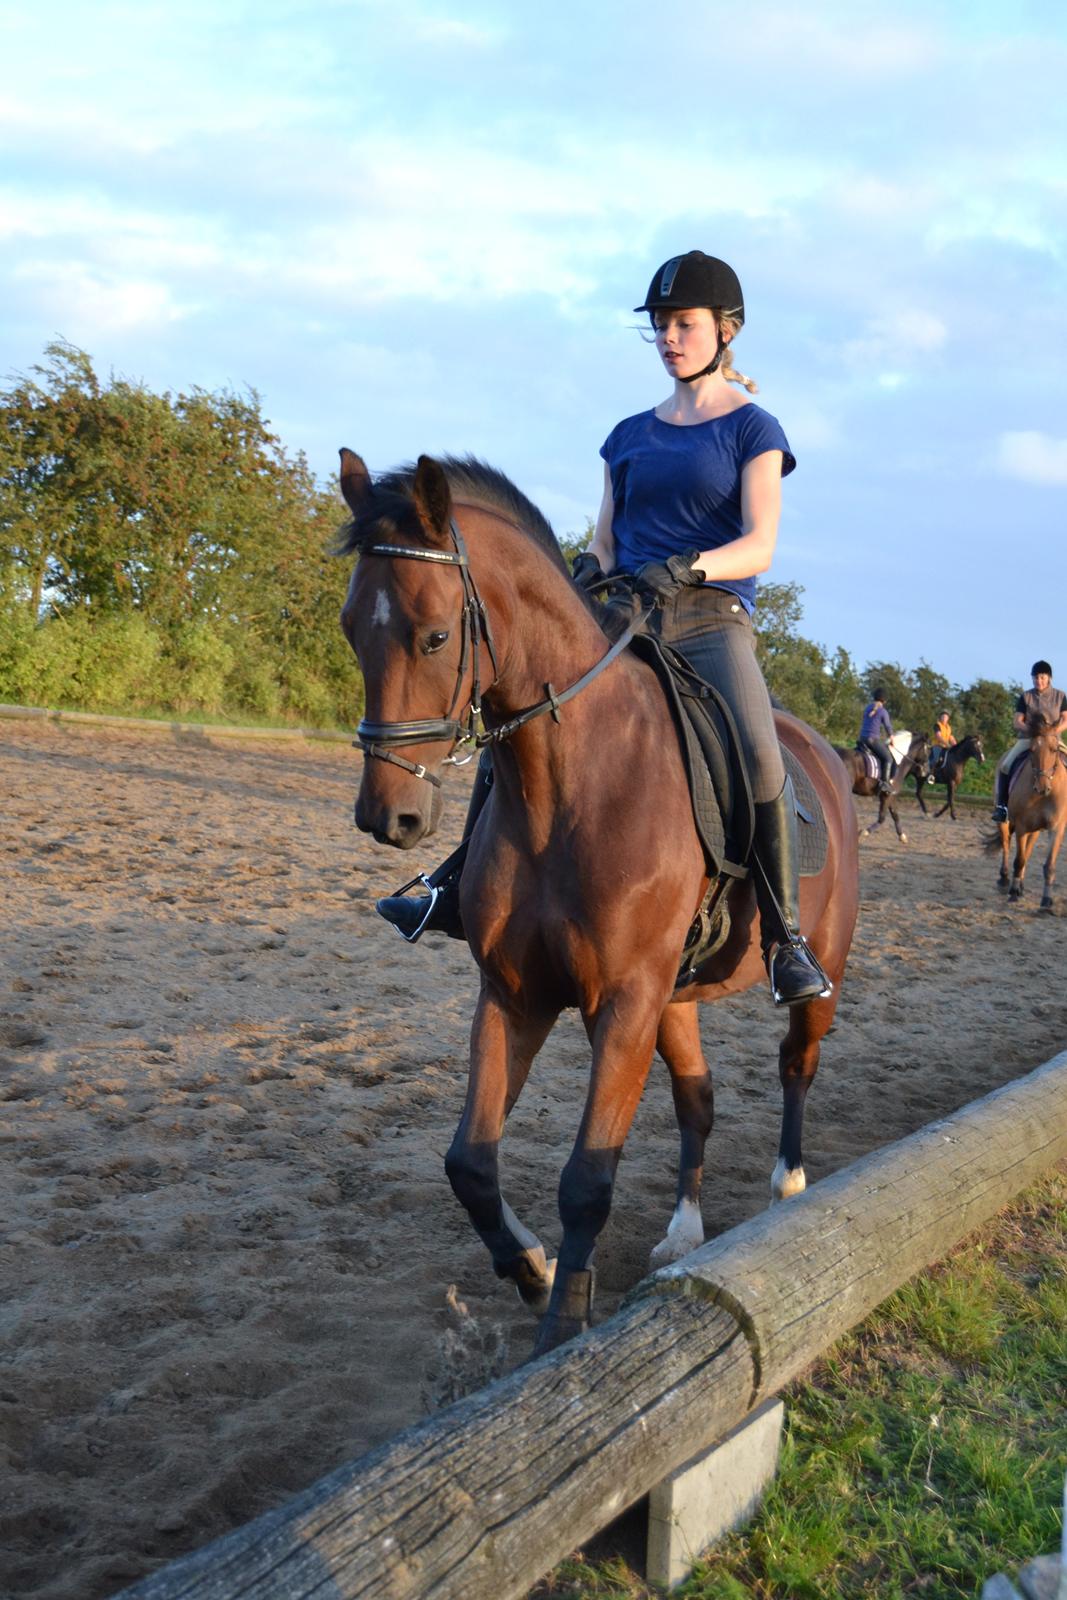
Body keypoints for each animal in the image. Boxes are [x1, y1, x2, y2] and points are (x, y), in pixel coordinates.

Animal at [340, 457, 857, 1356]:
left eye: (434, 635)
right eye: (348, 629)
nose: (388, 817)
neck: (569, 783)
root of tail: (825, 755)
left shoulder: (619, 1001)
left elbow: (587, 1175)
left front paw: (564, 1323)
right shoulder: (517, 994)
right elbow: (468, 1161)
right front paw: (531, 1269)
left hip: (808, 975)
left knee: (796, 1065)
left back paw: (787, 1184)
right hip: (674, 1000)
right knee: (697, 1098)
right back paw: (683, 1231)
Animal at [991, 716, 1067, 915]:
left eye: (1054, 749)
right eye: (1032, 750)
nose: (1041, 787)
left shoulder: (1056, 828)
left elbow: (1049, 865)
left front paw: (1046, 901)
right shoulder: (1022, 826)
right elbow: (1019, 860)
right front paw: (1013, 893)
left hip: (1036, 830)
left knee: (1028, 851)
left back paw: (1021, 885)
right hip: (1005, 821)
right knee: (1006, 845)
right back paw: (1005, 880)